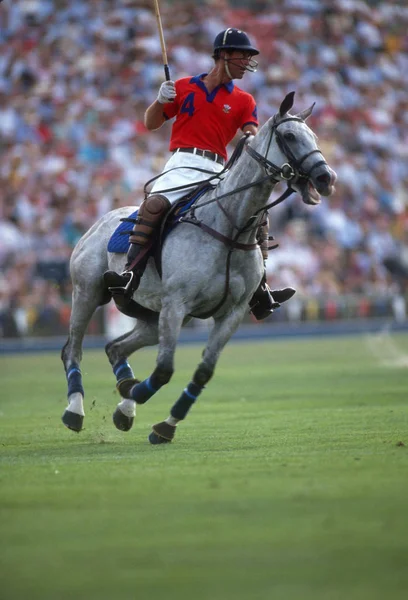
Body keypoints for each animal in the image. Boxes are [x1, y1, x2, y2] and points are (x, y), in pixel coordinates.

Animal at [60, 91, 334, 442]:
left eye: (314, 137)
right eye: (289, 136)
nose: (326, 178)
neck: (230, 230)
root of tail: (99, 222)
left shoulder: (231, 313)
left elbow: (204, 371)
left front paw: (162, 424)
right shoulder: (177, 304)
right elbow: (164, 369)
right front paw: (137, 396)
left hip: (150, 313)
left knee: (115, 348)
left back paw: (125, 401)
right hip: (88, 292)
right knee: (73, 349)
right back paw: (76, 410)